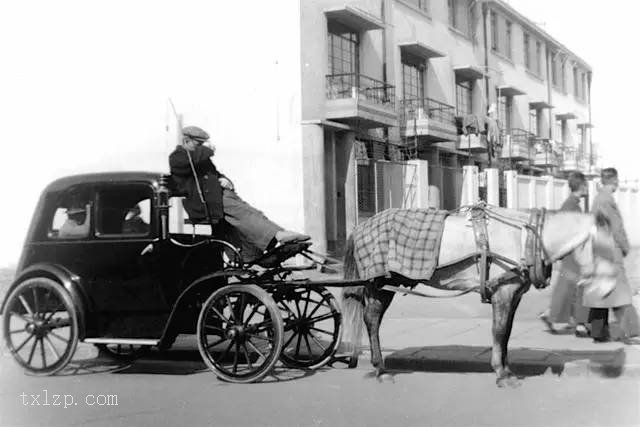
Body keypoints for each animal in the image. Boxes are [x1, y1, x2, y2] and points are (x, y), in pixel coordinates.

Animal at [342, 206, 624, 390]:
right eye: (604, 248)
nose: (609, 291)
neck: (525, 237)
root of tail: (361, 226)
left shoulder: (513, 294)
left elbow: (506, 333)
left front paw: (507, 368)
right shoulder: (503, 293)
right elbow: (498, 332)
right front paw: (501, 374)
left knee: (372, 320)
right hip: (379, 284)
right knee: (372, 320)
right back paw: (380, 369)